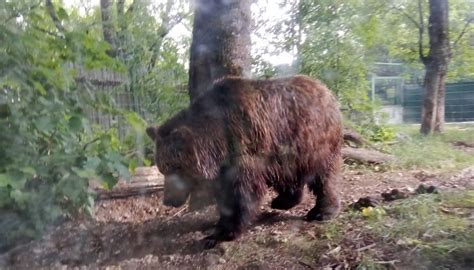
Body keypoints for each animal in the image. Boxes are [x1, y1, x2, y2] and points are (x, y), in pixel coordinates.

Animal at [146, 75, 342, 248]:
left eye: (176, 168)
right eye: (162, 168)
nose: (168, 200)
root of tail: (327, 91)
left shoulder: (244, 148)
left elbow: (243, 193)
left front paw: (224, 232)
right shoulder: (223, 168)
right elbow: (225, 196)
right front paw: (220, 225)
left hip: (312, 140)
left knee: (322, 176)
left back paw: (321, 211)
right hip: (286, 149)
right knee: (289, 175)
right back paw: (282, 200)